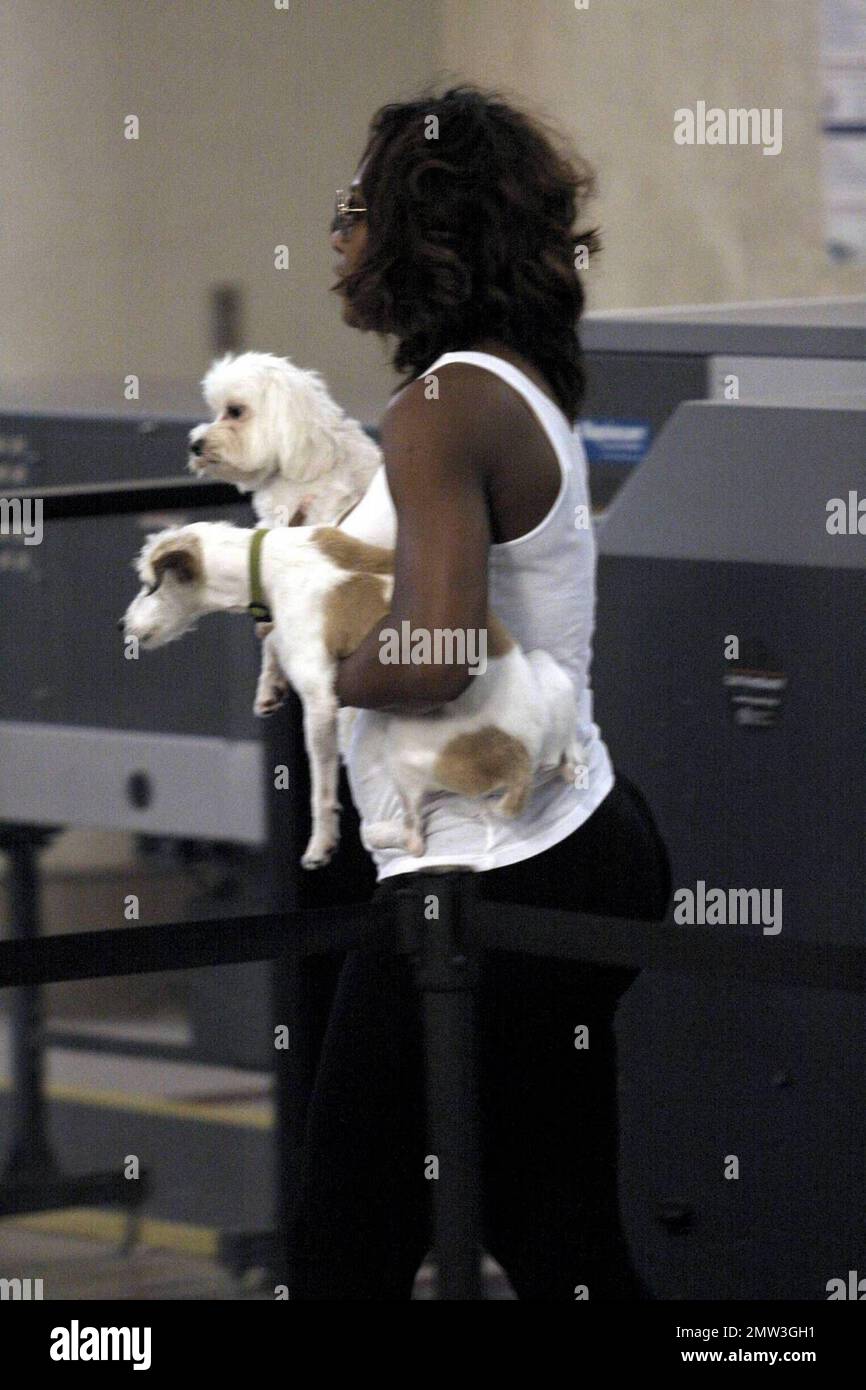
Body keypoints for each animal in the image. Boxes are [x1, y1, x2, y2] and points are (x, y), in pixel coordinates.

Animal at [120, 522, 583, 867]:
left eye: (149, 586)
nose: (124, 626)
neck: (268, 562)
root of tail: (523, 754)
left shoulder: (321, 701)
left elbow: (321, 791)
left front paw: (320, 844)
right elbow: (271, 638)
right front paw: (269, 684)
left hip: (406, 748)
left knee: (415, 838)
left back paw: (380, 833)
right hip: (547, 671)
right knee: (572, 746)